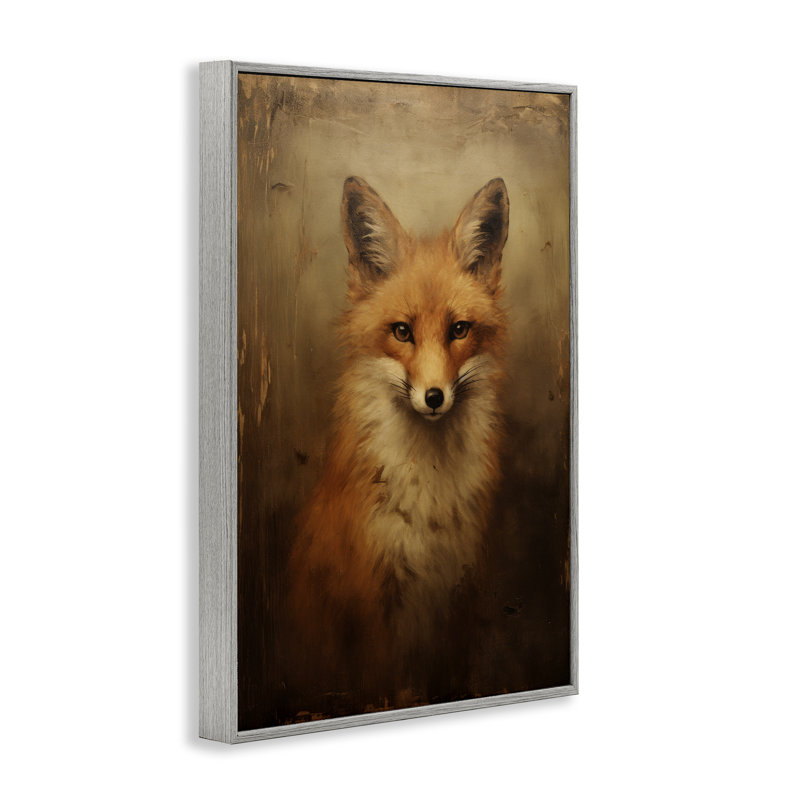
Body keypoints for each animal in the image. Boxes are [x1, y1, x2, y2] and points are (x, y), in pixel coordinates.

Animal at [288, 176, 510, 708]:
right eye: (402, 332)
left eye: (459, 330)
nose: (433, 397)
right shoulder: (372, 595)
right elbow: (387, 686)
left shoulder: (459, 588)